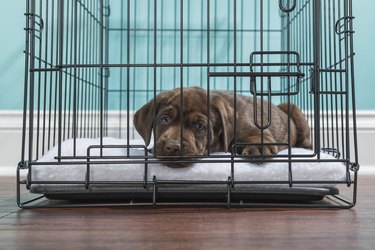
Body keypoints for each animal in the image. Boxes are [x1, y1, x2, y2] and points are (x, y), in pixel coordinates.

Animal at [133, 87, 312, 159]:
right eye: (164, 120)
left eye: (199, 126)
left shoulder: (252, 129)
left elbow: (258, 137)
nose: (172, 147)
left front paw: (258, 148)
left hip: (292, 108)